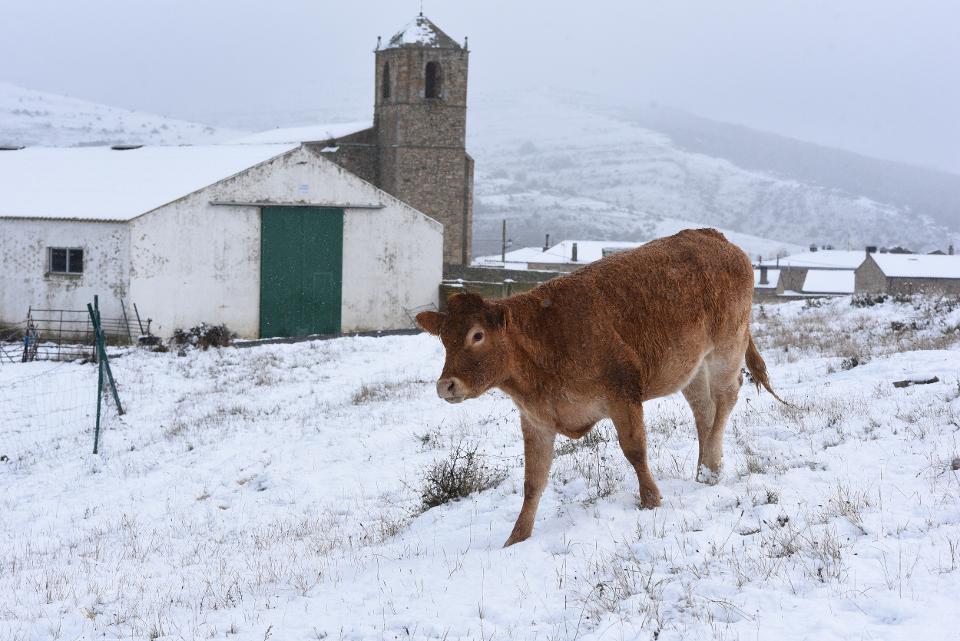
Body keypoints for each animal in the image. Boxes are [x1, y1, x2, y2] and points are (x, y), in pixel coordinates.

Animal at [416, 228, 784, 544]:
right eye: (444, 339)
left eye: (477, 335)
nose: (446, 386)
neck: (544, 342)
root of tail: (712, 236)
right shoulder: (536, 419)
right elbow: (533, 481)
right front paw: (516, 538)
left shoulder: (623, 394)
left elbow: (634, 450)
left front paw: (650, 500)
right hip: (691, 367)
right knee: (704, 410)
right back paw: (708, 468)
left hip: (726, 347)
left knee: (726, 397)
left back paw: (708, 470)